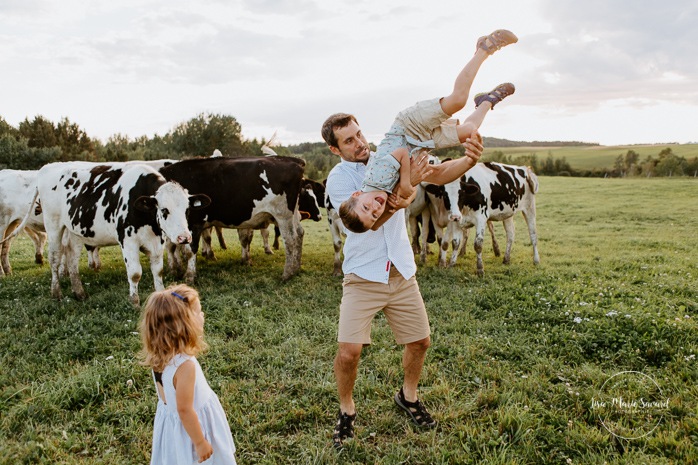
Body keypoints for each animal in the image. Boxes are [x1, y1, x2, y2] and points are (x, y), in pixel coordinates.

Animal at [161, 156, 308, 280]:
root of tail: (292, 160)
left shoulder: (195, 222)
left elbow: (190, 250)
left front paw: (189, 276)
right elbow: (172, 246)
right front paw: (175, 270)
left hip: (283, 214)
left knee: (291, 239)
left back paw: (287, 274)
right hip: (294, 213)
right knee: (300, 233)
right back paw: (296, 269)